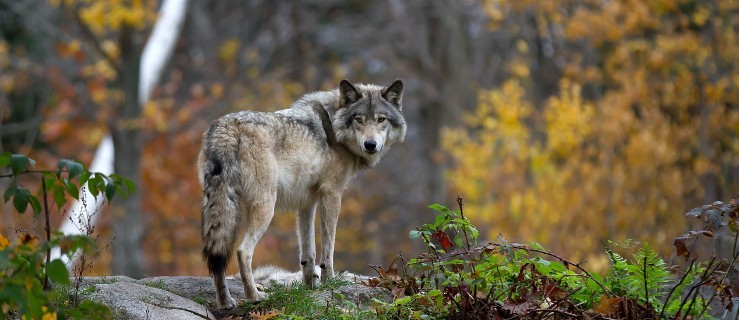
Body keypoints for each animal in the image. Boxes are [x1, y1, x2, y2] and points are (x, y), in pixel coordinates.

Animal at [198, 79, 404, 308]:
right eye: (359, 120)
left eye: (381, 119)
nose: (370, 145)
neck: (333, 127)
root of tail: (226, 128)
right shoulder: (332, 194)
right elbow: (328, 248)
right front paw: (329, 282)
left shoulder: (306, 202)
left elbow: (308, 253)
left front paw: (310, 287)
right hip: (265, 207)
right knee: (243, 252)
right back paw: (255, 296)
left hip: (220, 206)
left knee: (218, 256)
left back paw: (226, 302)